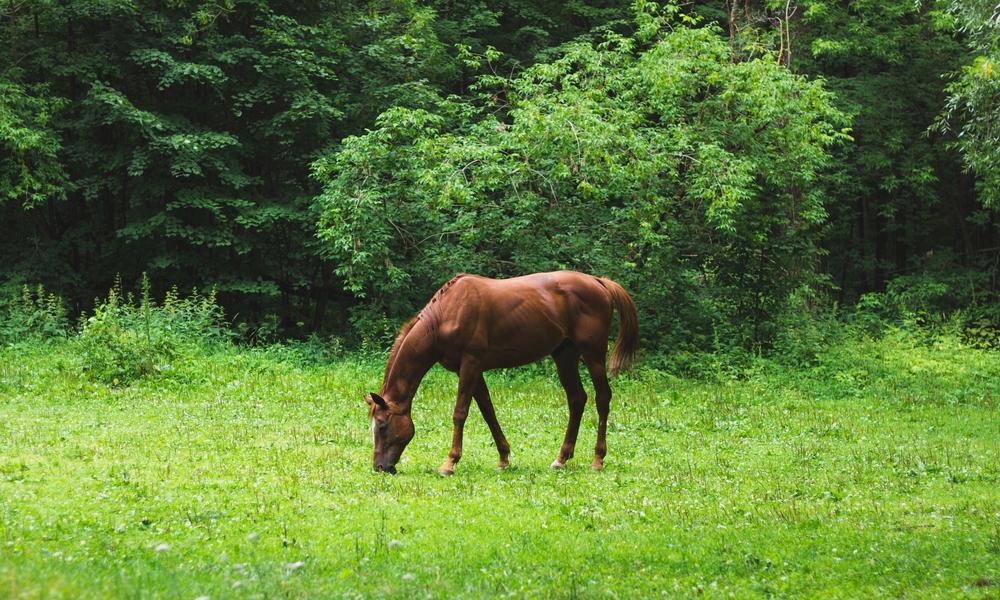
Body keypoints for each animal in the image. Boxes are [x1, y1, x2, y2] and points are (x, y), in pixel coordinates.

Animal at [364, 270, 636, 474]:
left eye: (382, 426)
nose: (380, 467)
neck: (445, 315)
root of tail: (599, 282)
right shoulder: (471, 370)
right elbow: (488, 411)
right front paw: (504, 457)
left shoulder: (470, 364)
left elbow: (460, 413)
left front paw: (449, 462)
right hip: (564, 355)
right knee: (577, 399)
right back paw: (561, 458)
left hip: (593, 355)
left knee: (602, 398)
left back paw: (597, 459)